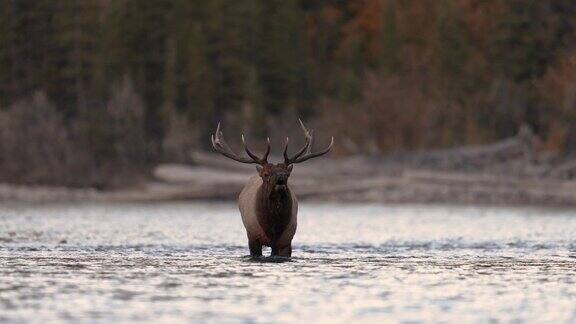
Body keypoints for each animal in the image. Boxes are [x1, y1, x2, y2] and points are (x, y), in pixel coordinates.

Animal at [212, 120, 332, 256]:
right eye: (266, 174)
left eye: (287, 174)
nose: (280, 177)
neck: (273, 226)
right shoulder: (253, 237)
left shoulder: (286, 240)